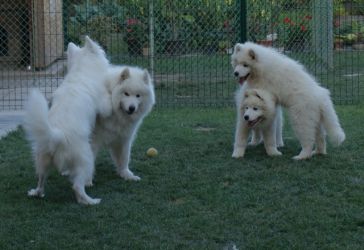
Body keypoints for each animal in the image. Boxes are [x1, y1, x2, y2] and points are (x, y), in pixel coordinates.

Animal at [23, 37, 111, 205]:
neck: (82, 69)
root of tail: (55, 137)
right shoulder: (104, 105)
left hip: (42, 160)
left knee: (41, 180)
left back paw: (36, 193)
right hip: (86, 159)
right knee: (77, 186)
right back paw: (91, 201)